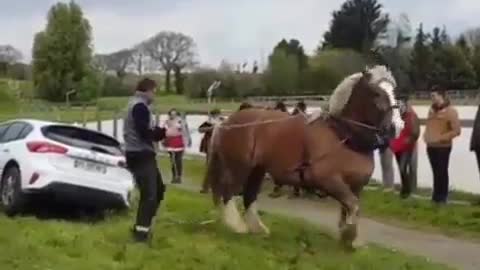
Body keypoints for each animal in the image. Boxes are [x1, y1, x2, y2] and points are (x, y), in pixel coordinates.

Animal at [204, 66, 404, 249]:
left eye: (393, 91)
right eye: (377, 93)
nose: (398, 127)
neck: (343, 136)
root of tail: (226, 122)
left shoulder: (355, 186)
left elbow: (350, 209)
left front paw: (349, 237)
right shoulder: (328, 180)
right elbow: (353, 206)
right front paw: (349, 234)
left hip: (256, 169)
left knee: (249, 195)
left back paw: (258, 228)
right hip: (238, 166)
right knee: (229, 192)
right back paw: (237, 226)